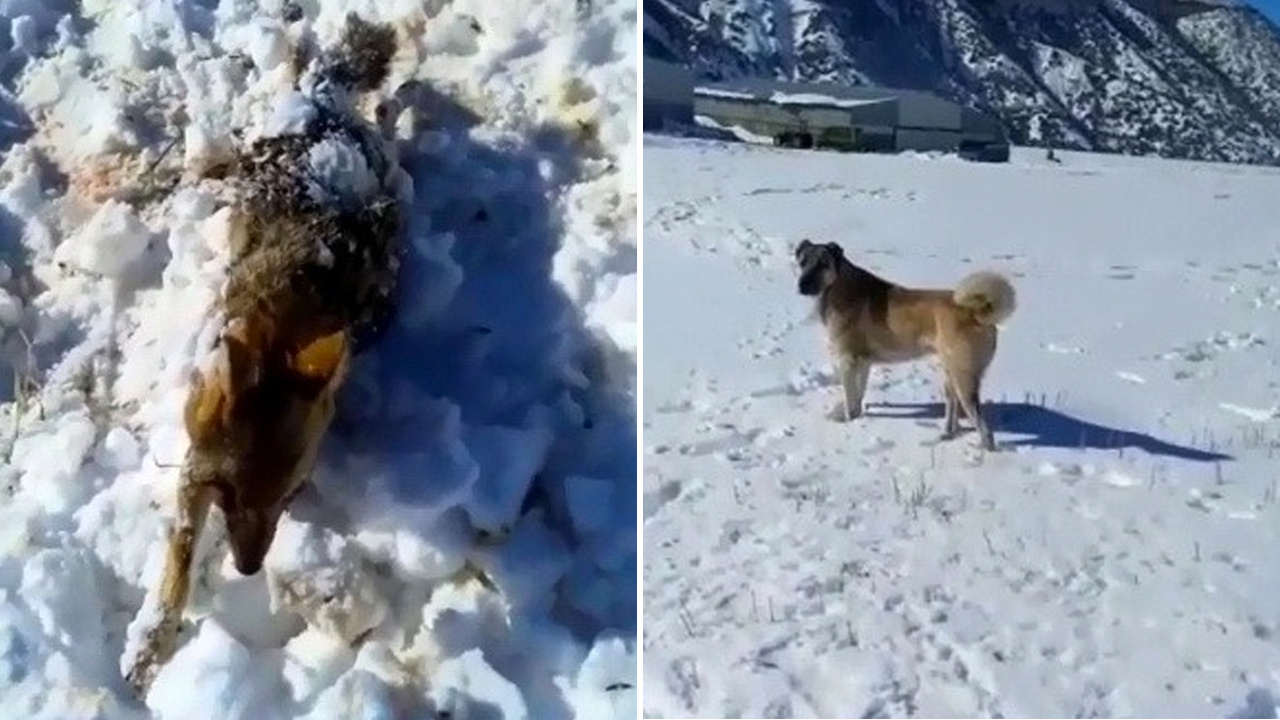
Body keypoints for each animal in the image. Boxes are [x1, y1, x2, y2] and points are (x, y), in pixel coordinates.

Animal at [793, 238, 1013, 445]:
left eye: (823, 264)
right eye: (803, 262)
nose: (802, 285)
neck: (838, 286)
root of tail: (977, 312)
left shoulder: (848, 360)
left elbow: (849, 396)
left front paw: (848, 420)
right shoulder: (863, 362)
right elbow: (858, 393)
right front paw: (856, 415)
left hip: (963, 376)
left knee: (983, 426)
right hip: (949, 372)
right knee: (953, 406)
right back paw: (946, 434)